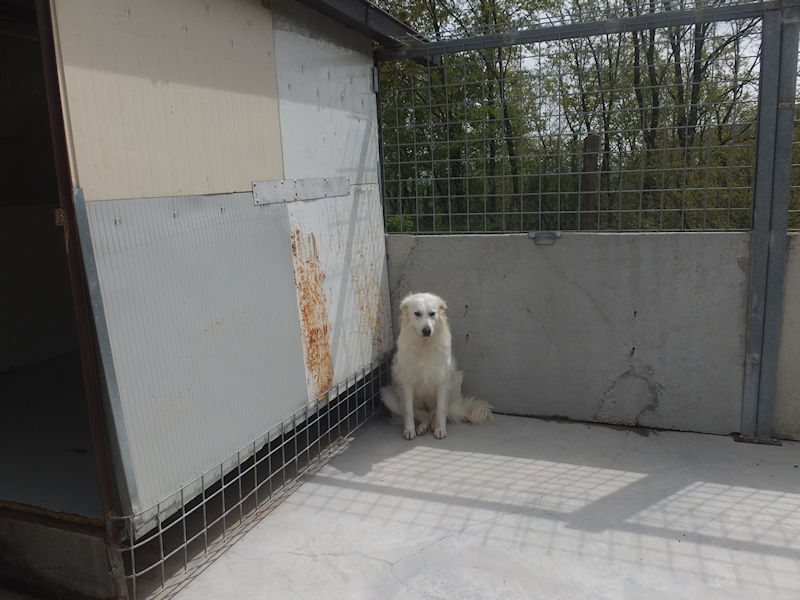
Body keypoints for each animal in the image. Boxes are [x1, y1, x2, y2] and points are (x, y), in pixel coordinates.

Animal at [381, 292, 493, 440]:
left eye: (432, 314)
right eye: (417, 313)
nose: (427, 330)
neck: (424, 347)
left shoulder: (442, 382)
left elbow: (440, 411)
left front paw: (440, 429)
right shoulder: (407, 384)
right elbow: (409, 412)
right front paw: (409, 430)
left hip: (456, 380)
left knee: (434, 413)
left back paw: (433, 424)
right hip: (388, 396)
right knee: (423, 415)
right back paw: (422, 426)